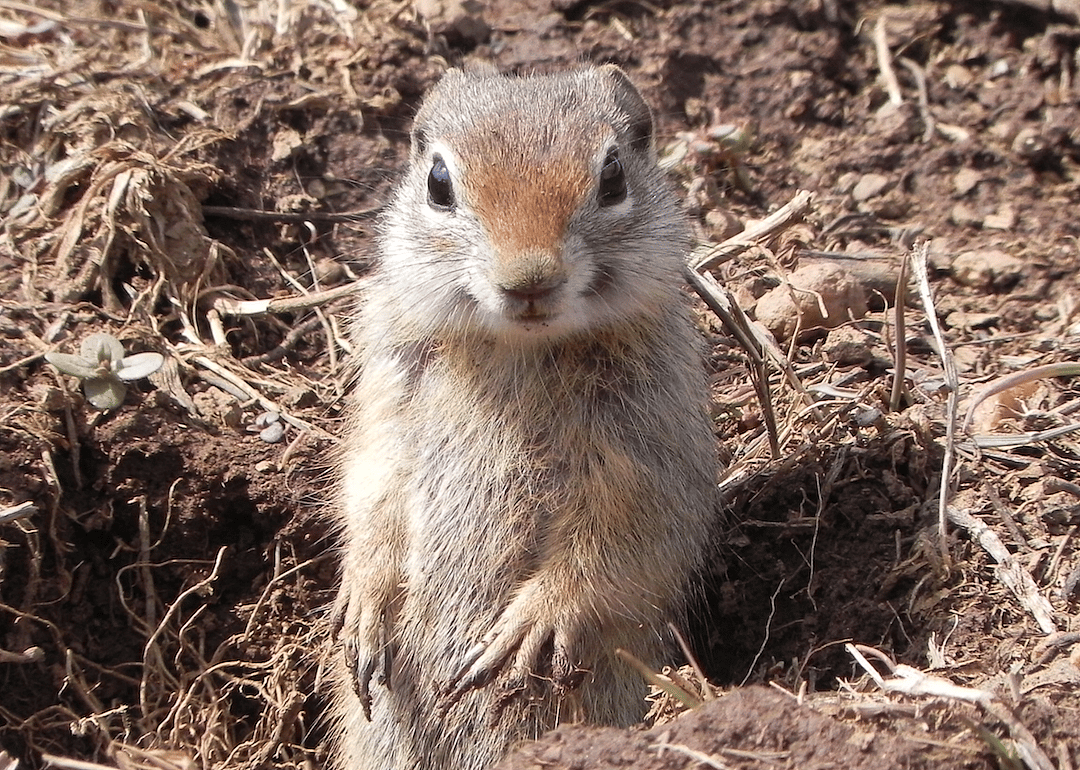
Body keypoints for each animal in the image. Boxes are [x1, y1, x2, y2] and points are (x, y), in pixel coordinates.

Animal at [327, 64, 719, 770]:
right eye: (438, 182)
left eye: (613, 177)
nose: (529, 280)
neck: (520, 347)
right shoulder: (387, 397)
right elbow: (372, 491)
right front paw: (363, 606)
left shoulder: (650, 439)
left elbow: (624, 534)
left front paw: (531, 624)